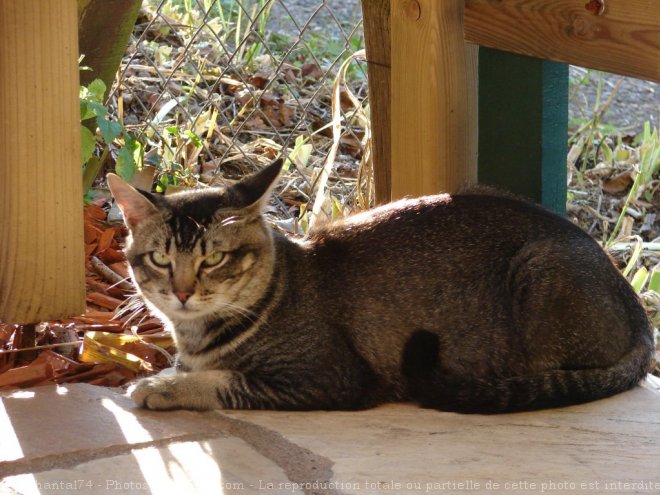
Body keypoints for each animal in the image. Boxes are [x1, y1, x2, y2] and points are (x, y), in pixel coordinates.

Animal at [108, 160, 656, 414]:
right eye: (161, 259)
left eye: (214, 260)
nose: (182, 292)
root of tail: (638, 314)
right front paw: (166, 374)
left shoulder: (328, 378)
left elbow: (222, 381)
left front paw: (162, 386)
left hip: (538, 271)